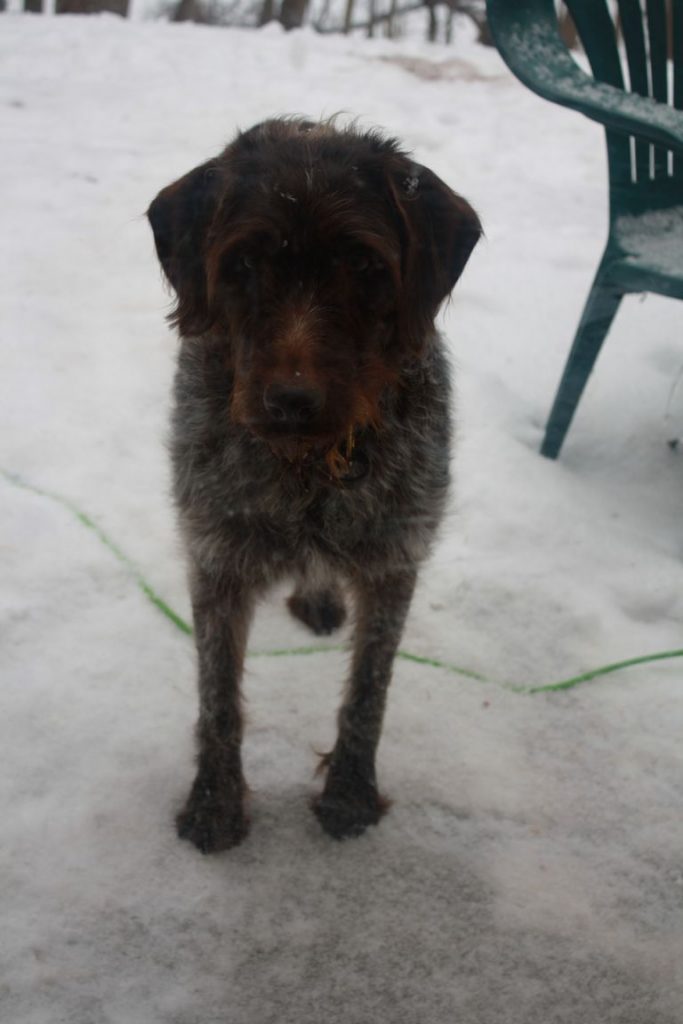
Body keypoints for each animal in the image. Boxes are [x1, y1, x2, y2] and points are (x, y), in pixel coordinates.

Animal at [149, 117, 481, 856]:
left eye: (363, 264)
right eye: (242, 264)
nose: (291, 402)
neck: (310, 464)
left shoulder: (393, 560)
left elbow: (368, 693)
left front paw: (349, 793)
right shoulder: (217, 558)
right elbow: (217, 695)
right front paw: (215, 802)